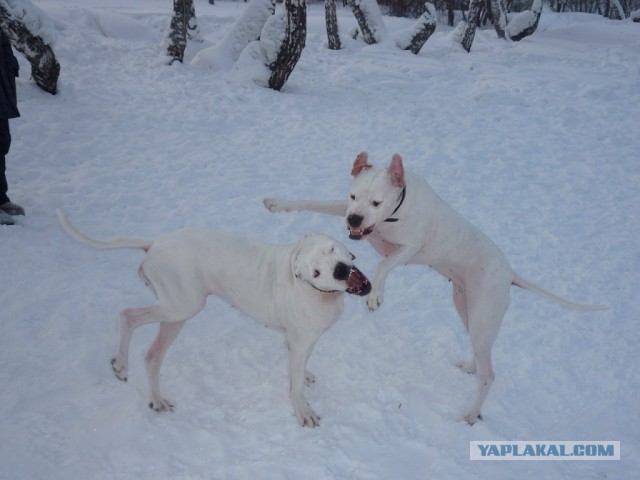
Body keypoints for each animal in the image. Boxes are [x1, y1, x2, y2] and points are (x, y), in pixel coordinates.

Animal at [60, 210, 372, 428]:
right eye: (316, 272)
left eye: (331, 249)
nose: (340, 270)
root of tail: (155, 243)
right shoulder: (299, 339)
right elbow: (295, 385)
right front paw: (303, 411)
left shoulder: (303, 339)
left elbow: (299, 367)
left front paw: (303, 375)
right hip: (181, 305)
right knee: (127, 315)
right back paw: (120, 365)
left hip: (176, 312)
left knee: (152, 356)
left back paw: (157, 401)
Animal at [264, 151, 604, 424]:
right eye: (352, 197)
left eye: (376, 202)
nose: (355, 219)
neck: (396, 209)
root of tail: (509, 272)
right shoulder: (343, 210)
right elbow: (313, 202)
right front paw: (278, 203)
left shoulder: (408, 249)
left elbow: (383, 266)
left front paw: (376, 296)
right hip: (468, 310)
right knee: (482, 354)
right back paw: (470, 366)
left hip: (483, 312)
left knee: (489, 375)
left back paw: (471, 414)